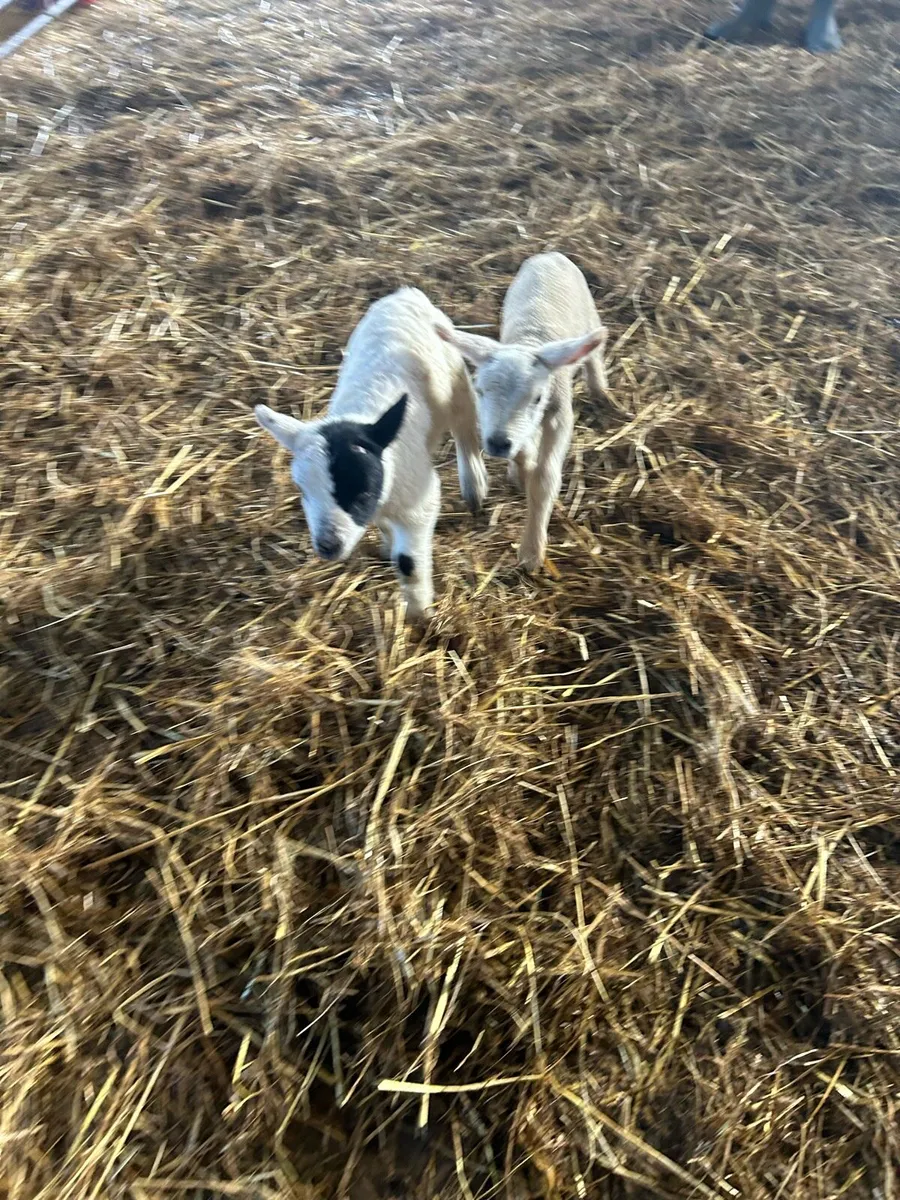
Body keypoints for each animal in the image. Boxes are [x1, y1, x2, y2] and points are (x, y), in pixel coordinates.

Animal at [254, 287, 488, 621]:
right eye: (302, 490)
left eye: (361, 490)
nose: (328, 546)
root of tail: (405, 293)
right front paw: (386, 546)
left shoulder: (419, 502)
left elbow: (408, 562)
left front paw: (420, 615)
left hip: (457, 382)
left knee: (465, 431)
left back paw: (474, 487)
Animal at [438, 251, 609, 573]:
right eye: (479, 391)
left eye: (537, 397)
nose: (497, 443)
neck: (529, 342)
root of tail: (550, 254)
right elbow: (523, 455)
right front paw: (520, 471)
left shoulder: (559, 415)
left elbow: (544, 479)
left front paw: (531, 552)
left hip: (588, 314)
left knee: (593, 354)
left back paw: (601, 392)